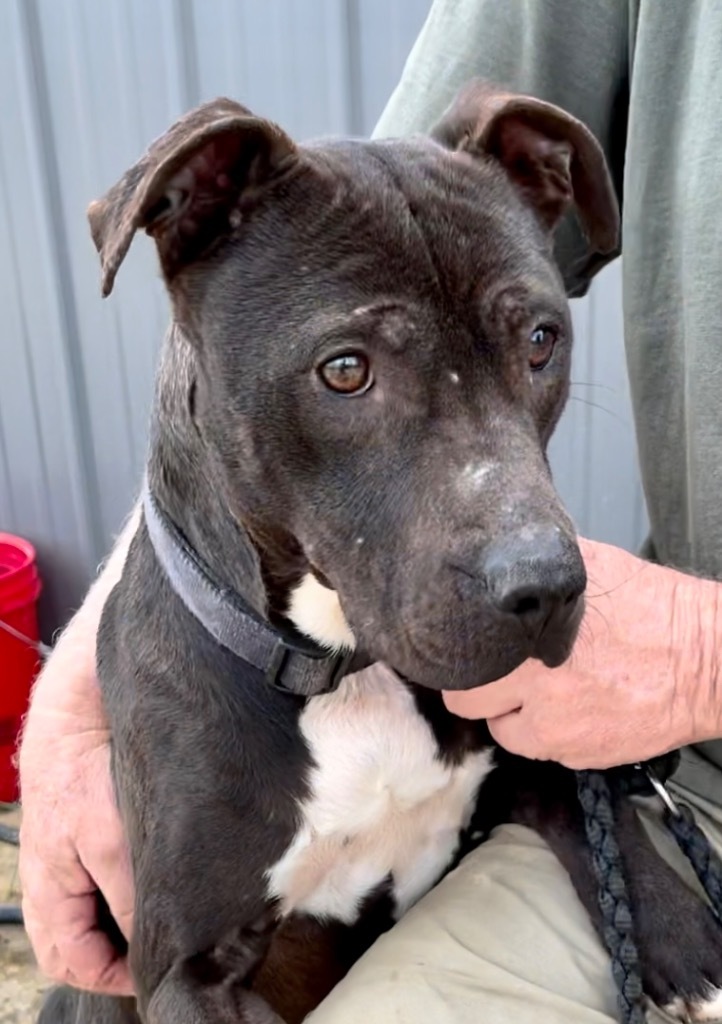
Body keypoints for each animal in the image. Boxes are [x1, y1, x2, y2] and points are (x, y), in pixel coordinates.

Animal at [37, 81, 720, 1024]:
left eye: (541, 340)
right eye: (346, 370)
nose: (548, 589)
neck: (344, 671)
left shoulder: (527, 769)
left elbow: (608, 826)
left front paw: (690, 946)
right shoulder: (186, 975)